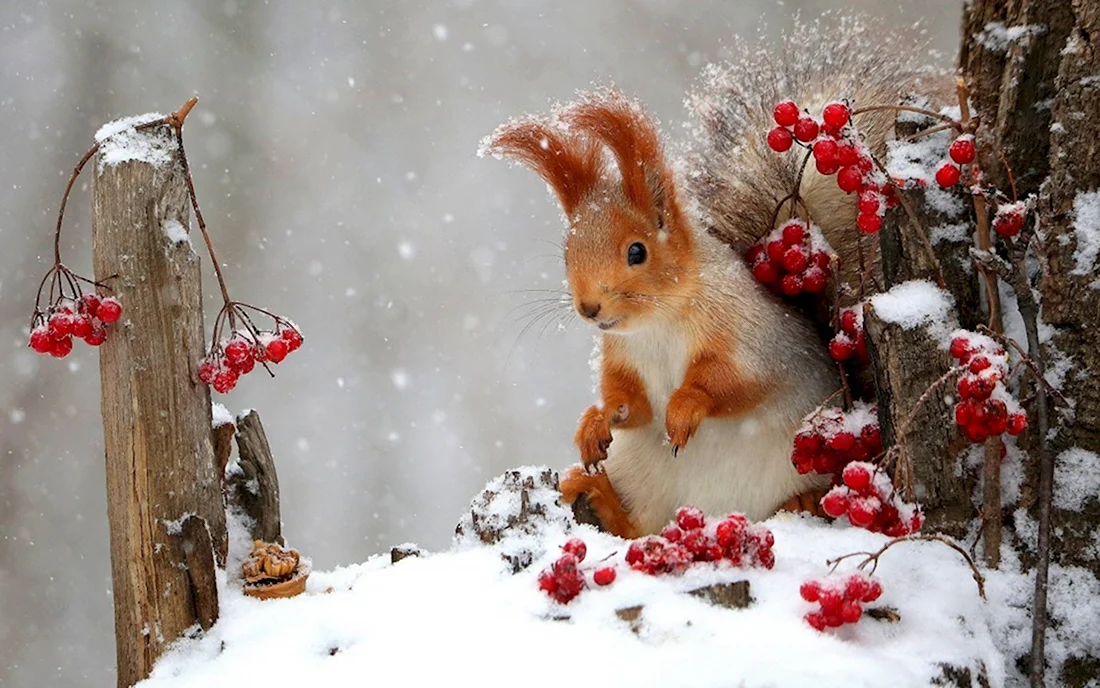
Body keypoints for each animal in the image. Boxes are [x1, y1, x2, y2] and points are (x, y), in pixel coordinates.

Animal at [481, 26, 928, 534]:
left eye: (637, 251)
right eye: (567, 254)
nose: (589, 308)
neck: (657, 324)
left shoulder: (750, 340)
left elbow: (731, 384)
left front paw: (684, 406)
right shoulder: (624, 358)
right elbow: (631, 404)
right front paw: (595, 421)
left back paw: (806, 500)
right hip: (643, 478)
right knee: (640, 528)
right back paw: (597, 497)